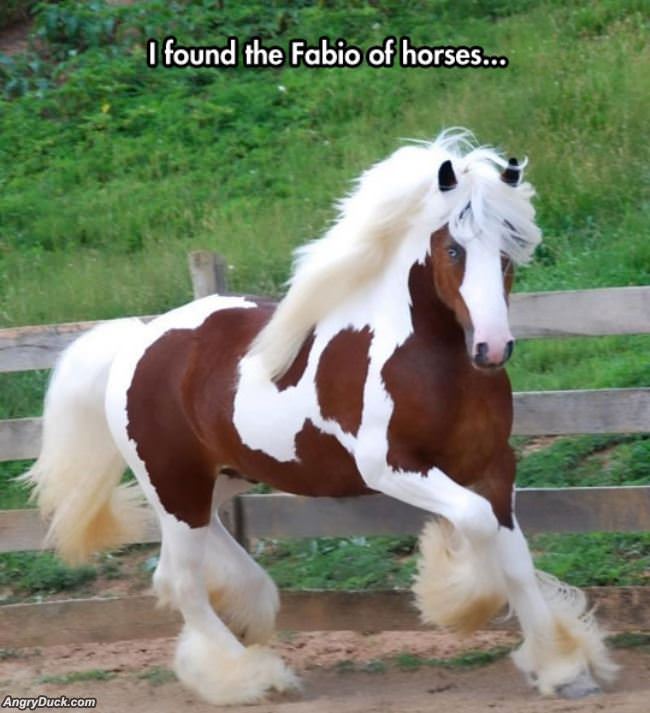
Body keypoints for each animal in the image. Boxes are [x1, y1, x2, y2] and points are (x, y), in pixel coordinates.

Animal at [23, 130, 617, 705]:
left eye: (511, 245)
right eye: (454, 247)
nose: (493, 348)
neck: (427, 361)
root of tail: (137, 341)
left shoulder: (493, 466)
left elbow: (514, 556)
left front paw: (563, 670)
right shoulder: (390, 467)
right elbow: (474, 525)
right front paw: (459, 595)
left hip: (218, 480)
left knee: (180, 568)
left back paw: (249, 614)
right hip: (175, 484)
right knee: (183, 583)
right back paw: (252, 677)